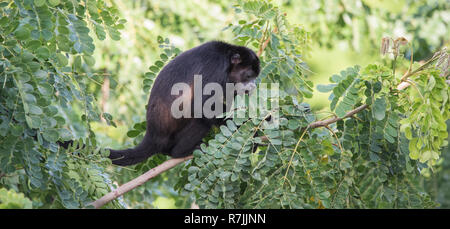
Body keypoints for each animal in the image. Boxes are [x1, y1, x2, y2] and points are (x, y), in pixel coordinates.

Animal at [107, 41, 260, 165]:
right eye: (248, 76)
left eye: (255, 77)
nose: (253, 86)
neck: (227, 60)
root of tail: (152, 134)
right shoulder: (214, 67)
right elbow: (202, 106)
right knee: (200, 120)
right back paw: (181, 152)